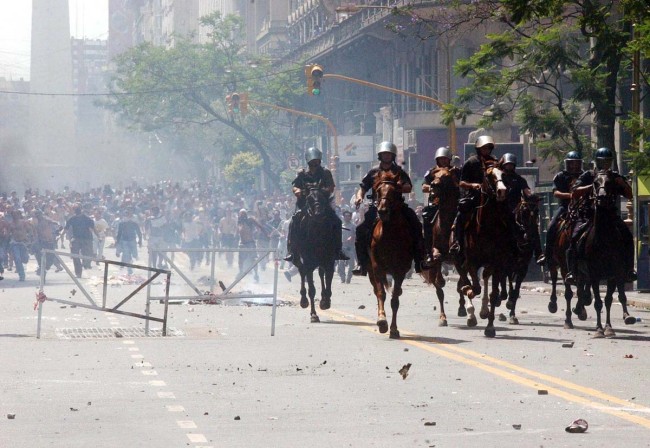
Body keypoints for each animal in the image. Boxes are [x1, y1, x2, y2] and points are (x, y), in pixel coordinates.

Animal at [292, 182, 336, 322]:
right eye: (309, 199)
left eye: (323, 198)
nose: (318, 213)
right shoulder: (308, 263)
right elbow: (311, 289)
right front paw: (313, 314)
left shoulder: (329, 261)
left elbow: (328, 284)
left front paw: (325, 302)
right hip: (298, 258)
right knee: (301, 271)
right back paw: (303, 300)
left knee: (321, 274)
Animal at [368, 170, 412, 338]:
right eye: (378, 191)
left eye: (394, 192)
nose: (382, 211)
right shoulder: (377, 267)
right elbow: (381, 293)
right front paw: (381, 321)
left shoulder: (400, 270)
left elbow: (395, 300)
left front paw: (393, 329)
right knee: (377, 290)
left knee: (396, 293)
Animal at [456, 166, 512, 338]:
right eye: (489, 175)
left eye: (504, 174)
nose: (502, 191)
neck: (485, 228)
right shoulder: (471, 262)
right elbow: (474, 288)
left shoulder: (496, 263)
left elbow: (492, 294)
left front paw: (490, 326)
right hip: (459, 258)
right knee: (465, 278)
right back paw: (471, 313)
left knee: (484, 278)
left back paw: (482, 310)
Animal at [576, 171, 636, 336]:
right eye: (595, 183)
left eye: (610, 183)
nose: (602, 197)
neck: (603, 238)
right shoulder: (594, 274)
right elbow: (598, 302)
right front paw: (598, 329)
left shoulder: (613, 273)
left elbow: (608, 300)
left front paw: (608, 328)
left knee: (619, 293)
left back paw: (627, 316)